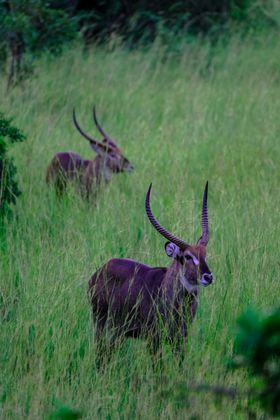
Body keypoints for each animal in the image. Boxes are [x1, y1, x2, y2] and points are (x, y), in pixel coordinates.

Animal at [88, 182, 213, 362]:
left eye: (205, 254)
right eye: (188, 256)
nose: (208, 276)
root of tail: (98, 271)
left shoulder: (181, 338)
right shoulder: (154, 338)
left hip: (118, 333)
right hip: (101, 326)